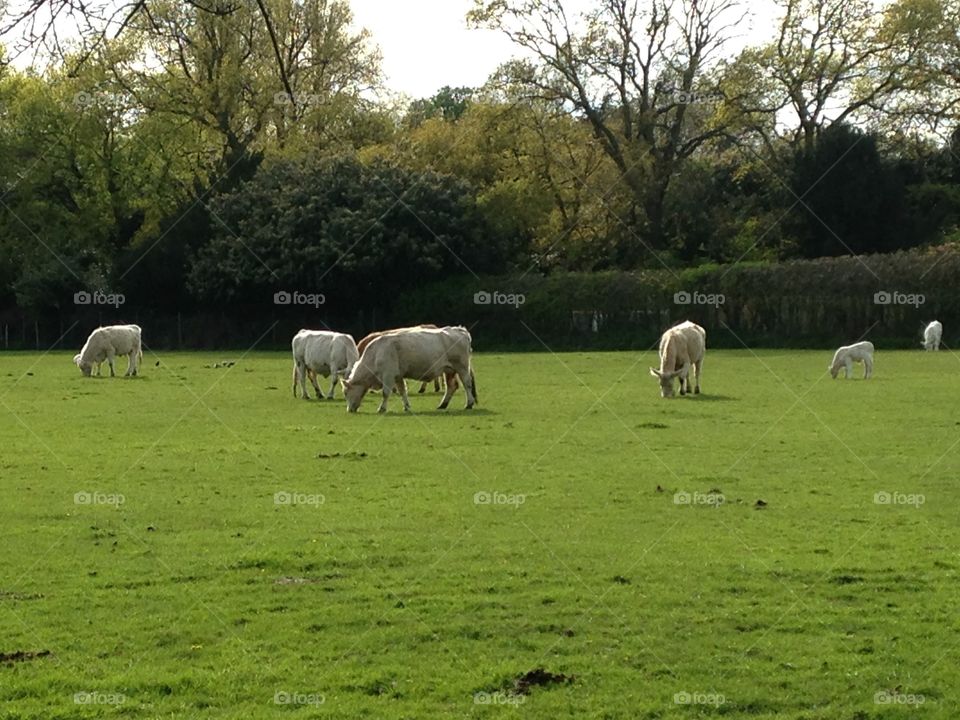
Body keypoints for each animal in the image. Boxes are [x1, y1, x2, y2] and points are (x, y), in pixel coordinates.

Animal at [344, 325, 476, 413]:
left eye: (345, 393)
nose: (349, 410)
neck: (376, 354)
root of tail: (458, 329)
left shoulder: (388, 375)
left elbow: (385, 393)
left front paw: (382, 408)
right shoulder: (398, 376)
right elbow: (403, 391)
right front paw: (406, 406)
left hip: (462, 367)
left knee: (467, 384)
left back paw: (469, 404)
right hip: (449, 370)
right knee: (451, 386)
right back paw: (443, 405)